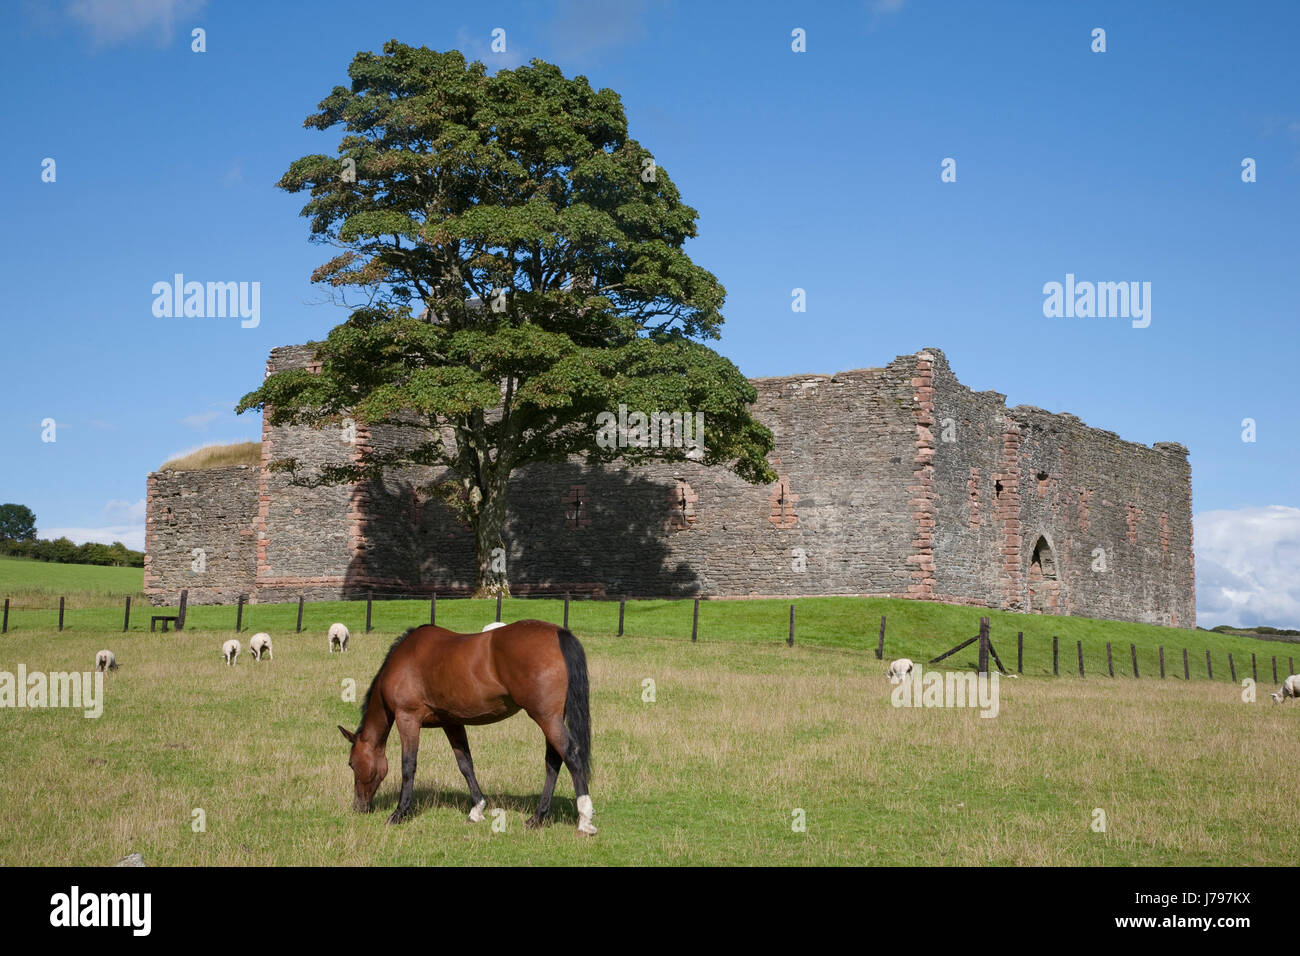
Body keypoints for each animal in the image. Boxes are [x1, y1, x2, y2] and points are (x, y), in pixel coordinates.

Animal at [338, 624, 595, 832]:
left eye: (351, 763)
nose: (358, 807)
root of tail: (558, 633)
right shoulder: (452, 722)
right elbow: (465, 764)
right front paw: (477, 809)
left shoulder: (407, 719)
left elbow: (408, 766)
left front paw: (399, 813)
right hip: (551, 719)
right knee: (553, 761)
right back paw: (538, 818)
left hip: (546, 718)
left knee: (570, 756)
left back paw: (584, 819)